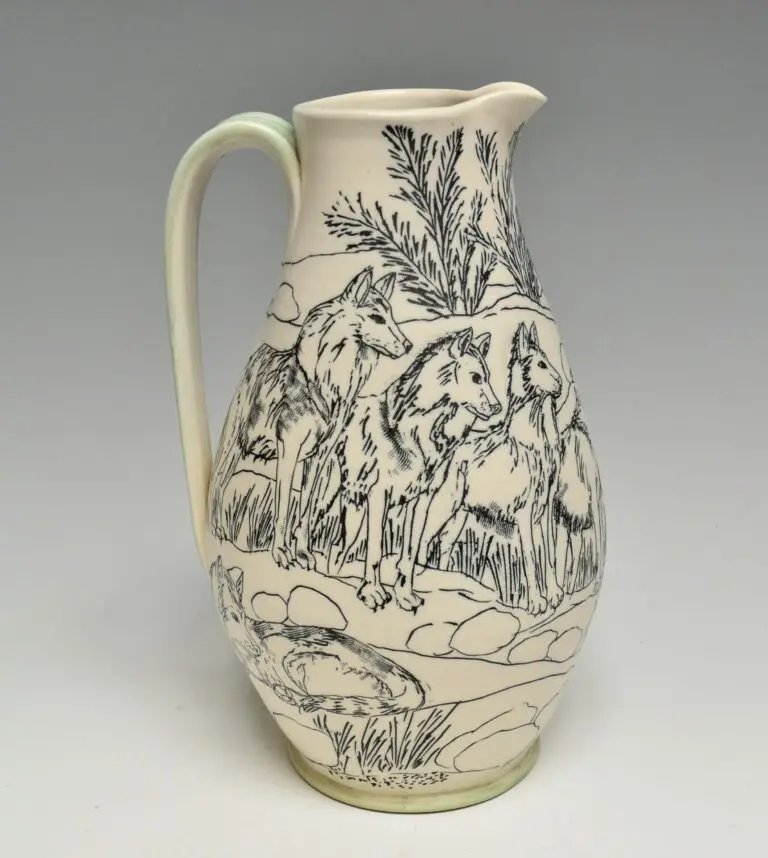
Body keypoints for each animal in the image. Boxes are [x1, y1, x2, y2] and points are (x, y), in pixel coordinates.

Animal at [208, 267, 411, 568]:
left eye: (393, 315)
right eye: (377, 318)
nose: (408, 345)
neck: (326, 383)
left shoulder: (319, 457)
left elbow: (307, 507)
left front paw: (303, 552)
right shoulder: (288, 450)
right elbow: (283, 508)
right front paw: (281, 553)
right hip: (233, 444)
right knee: (220, 485)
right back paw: (219, 530)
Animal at [329, 328, 501, 612]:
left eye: (488, 377)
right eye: (476, 377)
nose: (498, 407)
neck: (414, 432)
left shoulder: (421, 500)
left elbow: (408, 555)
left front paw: (404, 596)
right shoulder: (379, 496)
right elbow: (375, 551)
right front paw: (373, 593)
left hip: (353, 508)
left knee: (339, 551)